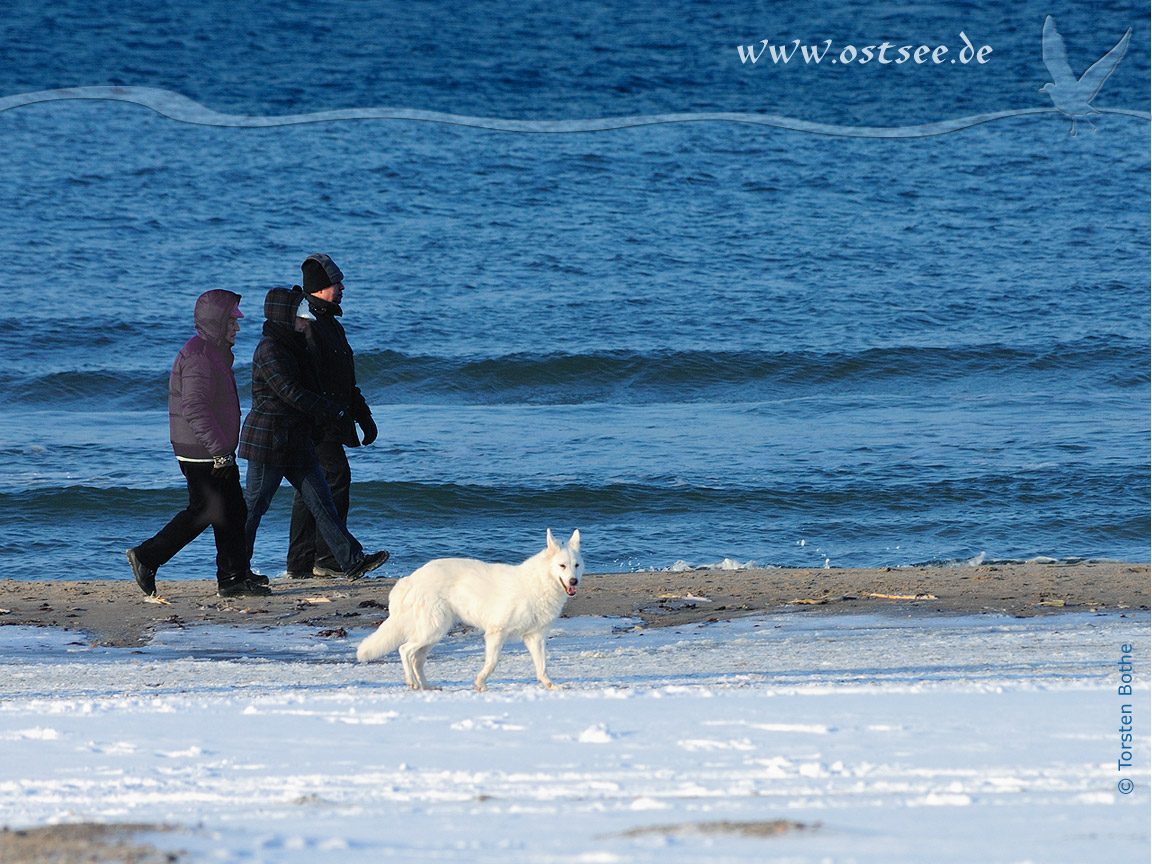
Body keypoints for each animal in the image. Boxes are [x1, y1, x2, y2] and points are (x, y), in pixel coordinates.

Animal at [352, 527, 585, 691]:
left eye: (576, 565)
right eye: (562, 566)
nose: (574, 581)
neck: (538, 583)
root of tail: (412, 578)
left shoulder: (535, 637)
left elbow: (542, 667)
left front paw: (550, 685)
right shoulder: (496, 633)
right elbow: (492, 662)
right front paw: (480, 683)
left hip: (434, 634)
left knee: (416, 659)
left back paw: (426, 687)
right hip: (432, 630)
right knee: (404, 650)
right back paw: (412, 682)